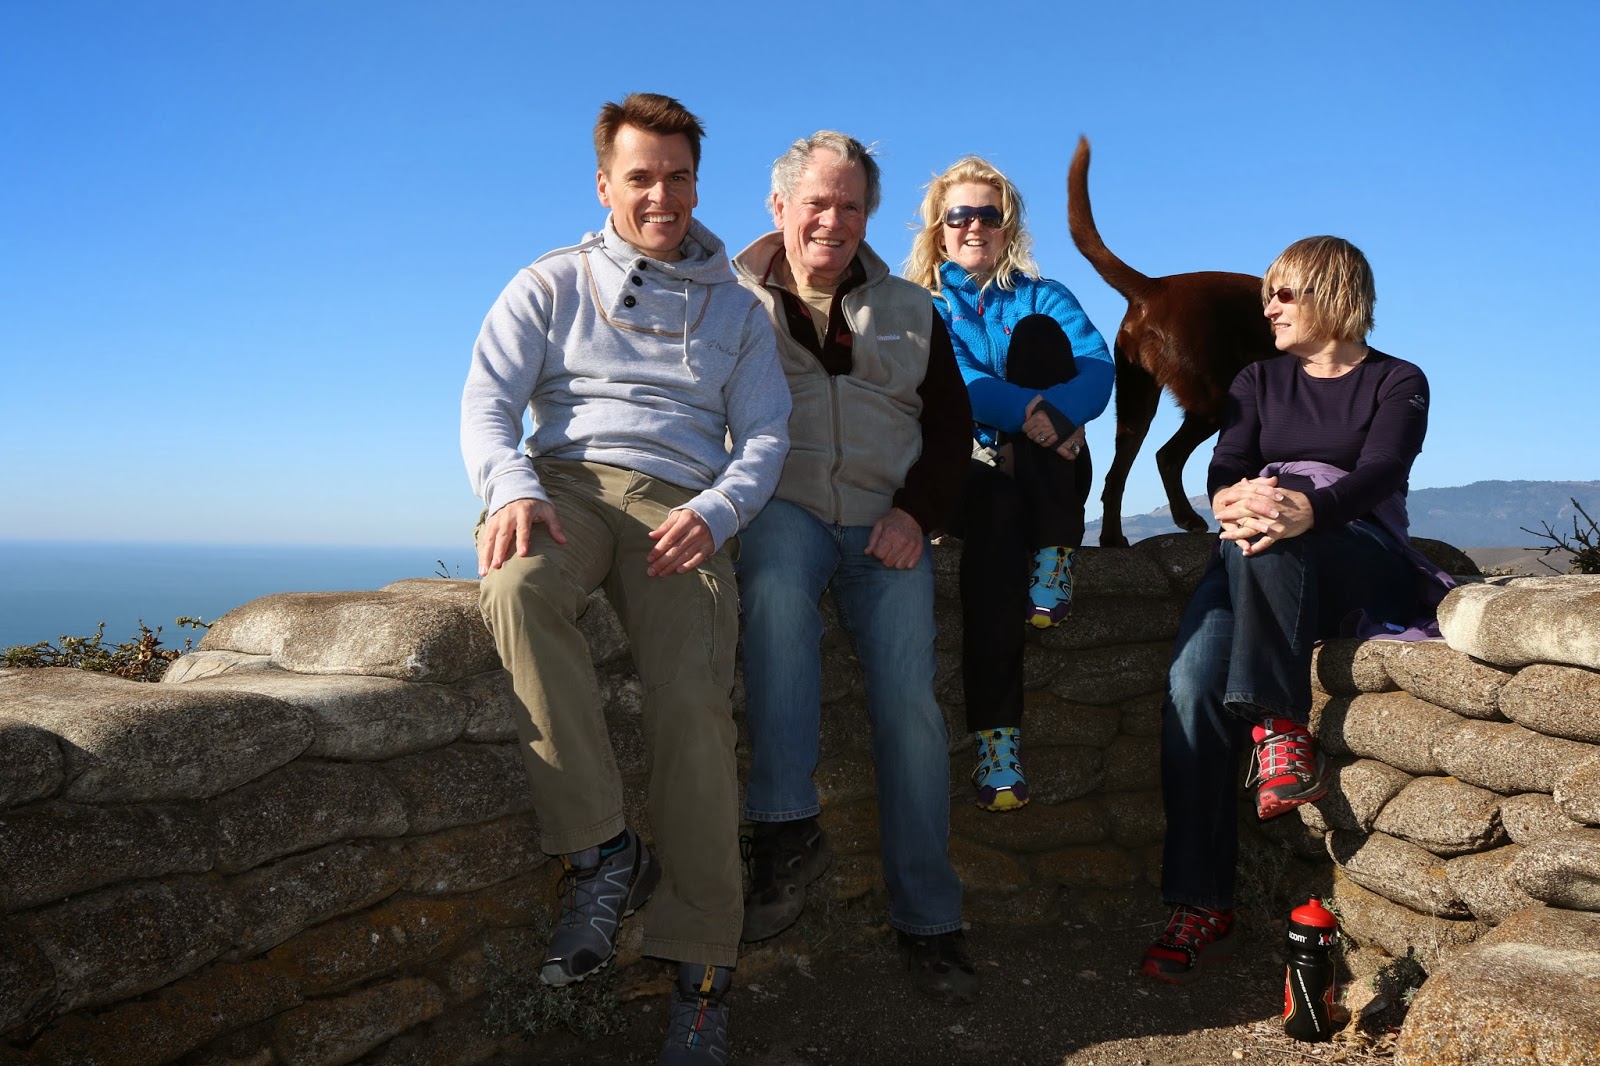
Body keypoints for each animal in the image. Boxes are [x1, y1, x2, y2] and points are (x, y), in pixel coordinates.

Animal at [1068, 136, 1279, 548]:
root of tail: (1152, 287)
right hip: (1212, 399)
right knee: (1166, 456)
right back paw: (1187, 518)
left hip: (1136, 405)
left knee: (1116, 475)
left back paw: (1114, 539)